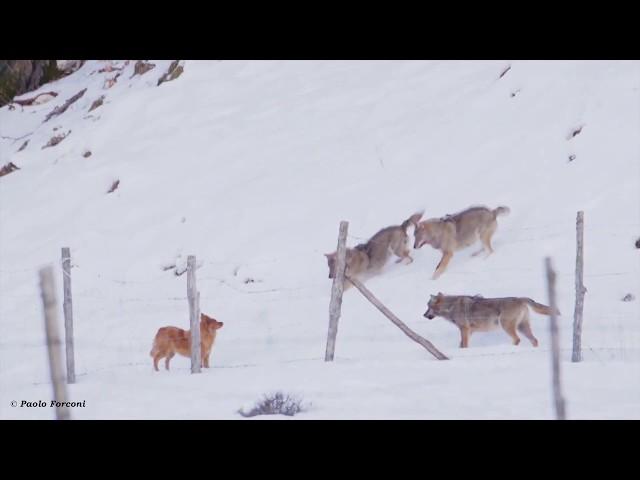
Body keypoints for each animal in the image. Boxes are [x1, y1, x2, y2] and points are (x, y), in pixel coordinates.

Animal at [424, 292, 560, 348]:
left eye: (428, 306)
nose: (423, 315)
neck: (450, 306)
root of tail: (520, 298)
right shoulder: (469, 331)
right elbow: (461, 345)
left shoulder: (464, 329)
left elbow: (464, 345)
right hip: (522, 327)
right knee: (534, 340)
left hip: (507, 326)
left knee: (517, 339)